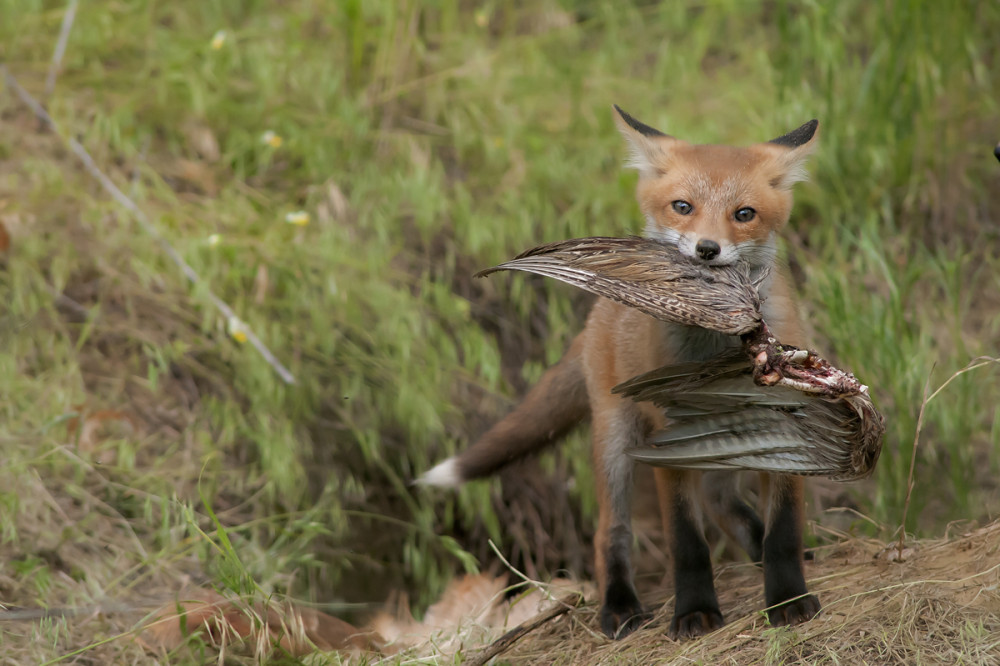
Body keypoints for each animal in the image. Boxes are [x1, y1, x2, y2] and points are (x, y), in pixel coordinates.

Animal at [422, 105, 820, 640]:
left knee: (721, 504)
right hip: (616, 440)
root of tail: (598, 312)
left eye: (744, 214)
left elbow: (782, 532)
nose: (707, 249)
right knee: (609, 532)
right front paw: (694, 612)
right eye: (682, 206)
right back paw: (619, 605)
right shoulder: (665, 439)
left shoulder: (784, 426)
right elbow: (686, 543)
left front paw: (788, 599)